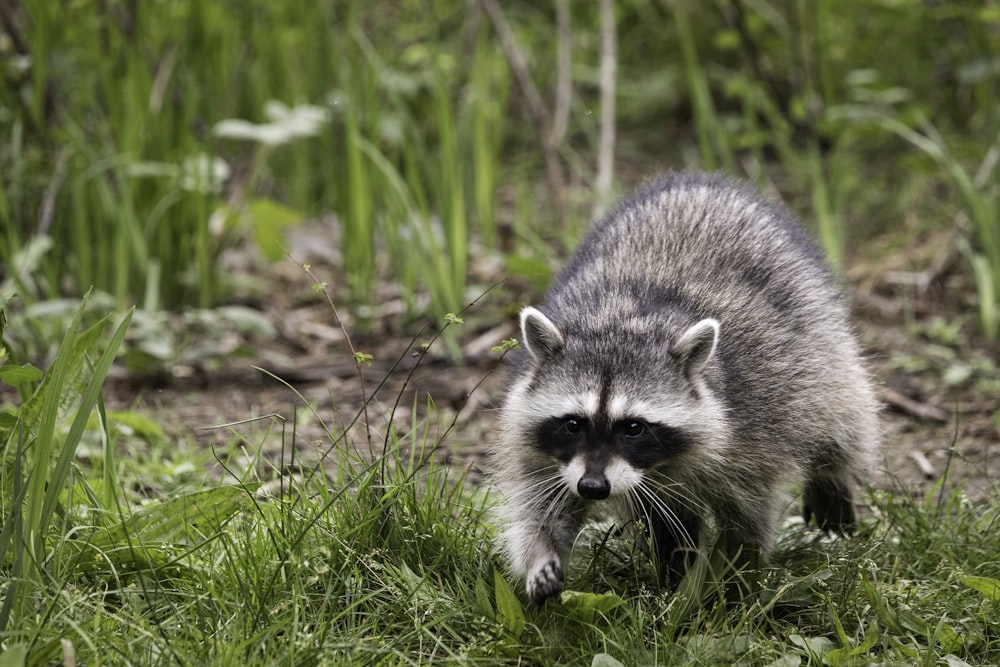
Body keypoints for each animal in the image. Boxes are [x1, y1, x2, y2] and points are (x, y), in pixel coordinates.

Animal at [490, 172, 876, 604]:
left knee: (841, 413)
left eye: (634, 427)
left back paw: (832, 480)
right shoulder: (539, 440)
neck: (620, 323)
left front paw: (737, 580)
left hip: (818, 338)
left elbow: (748, 516)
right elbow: (541, 502)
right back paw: (674, 568)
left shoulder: (755, 425)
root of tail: (702, 181)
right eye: (573, 423)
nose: (593, 487)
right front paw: (541, 556)